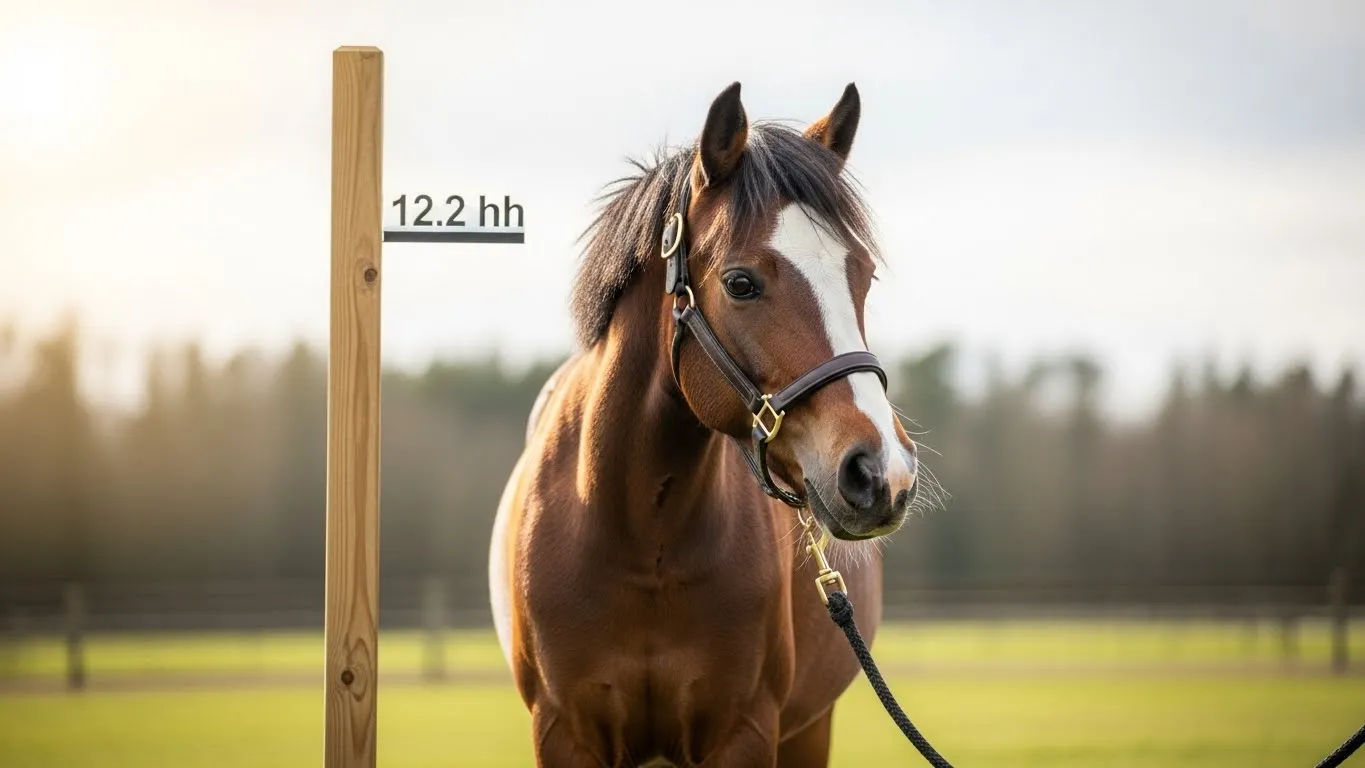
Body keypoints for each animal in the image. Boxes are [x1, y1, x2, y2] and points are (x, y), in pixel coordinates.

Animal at [489, 81, 920, 767]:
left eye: (864, 275)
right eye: (740, 283)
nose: (883, 474)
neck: (642, 538)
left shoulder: (744, 732)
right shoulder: (564, 733)